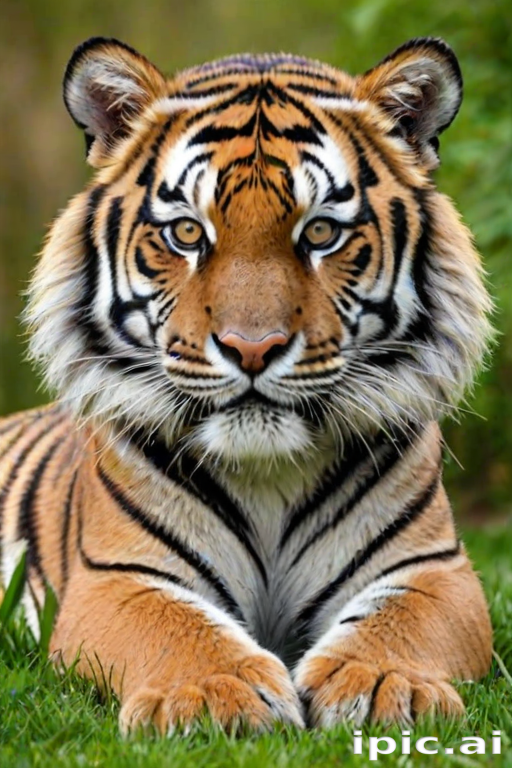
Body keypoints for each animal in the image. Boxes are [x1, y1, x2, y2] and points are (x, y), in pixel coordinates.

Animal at [0, 35, 493, 734]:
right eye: (186, 232)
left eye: (321, 232)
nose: (251, 348)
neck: (268, 475)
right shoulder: (117, 576)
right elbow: (177, 628)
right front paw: (210, 693)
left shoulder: (434, 570)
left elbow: (398, 625)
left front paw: (384, 683)